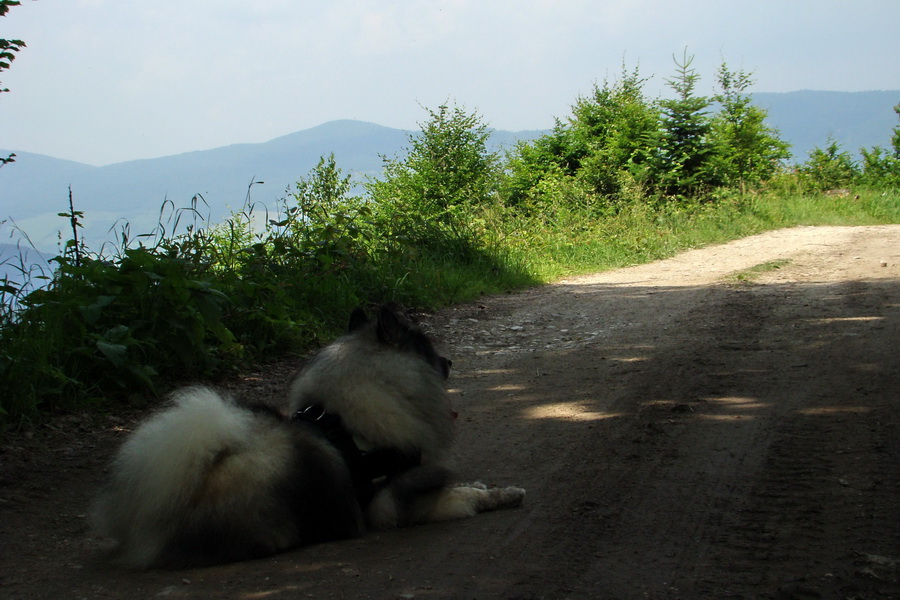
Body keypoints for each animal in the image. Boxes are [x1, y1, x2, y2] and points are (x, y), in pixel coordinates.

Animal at [89, 304, 528, 568]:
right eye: (428, 350)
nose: (450, 361)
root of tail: (148, 518)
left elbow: (465, 484)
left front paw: (487, 486)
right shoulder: (395, 501)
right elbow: (463, 494)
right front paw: (502, 494)